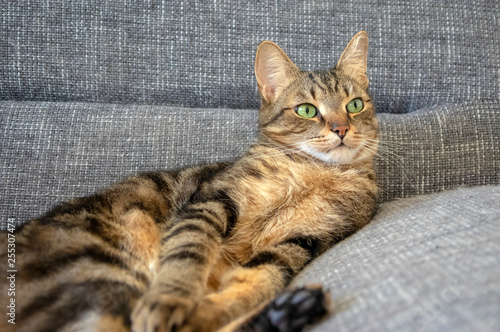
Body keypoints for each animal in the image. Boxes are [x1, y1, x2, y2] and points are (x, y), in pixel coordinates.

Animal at [0, 31, 376, 332]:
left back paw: (292, 311)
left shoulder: (305, 240)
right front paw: (171, 300)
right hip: (99, 266)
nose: (341, 129)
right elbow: (189, 252)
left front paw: (203, 313)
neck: (314, 174)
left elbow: (258, 280)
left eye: (355, 105)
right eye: (307, 110)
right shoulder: (213, 199)